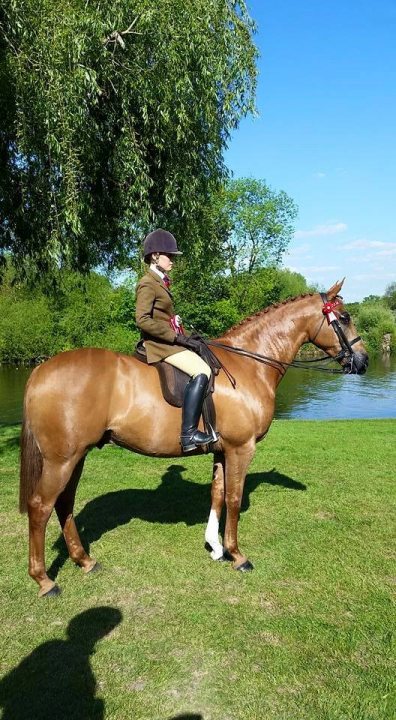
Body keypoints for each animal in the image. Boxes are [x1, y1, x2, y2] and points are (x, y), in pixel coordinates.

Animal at [20, 282, 368, 596]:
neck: (250, 364)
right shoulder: (241, 449)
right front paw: (237, 555)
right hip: (62, 459)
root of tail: (40, 369)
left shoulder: (222, 450)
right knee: (40, 507)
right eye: (345, 316)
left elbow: (217, 495)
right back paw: (44, 581)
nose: (363, 361)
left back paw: (84, 561)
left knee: (64, 504)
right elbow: (233, 499)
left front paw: (215, 547)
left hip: (76, 456)